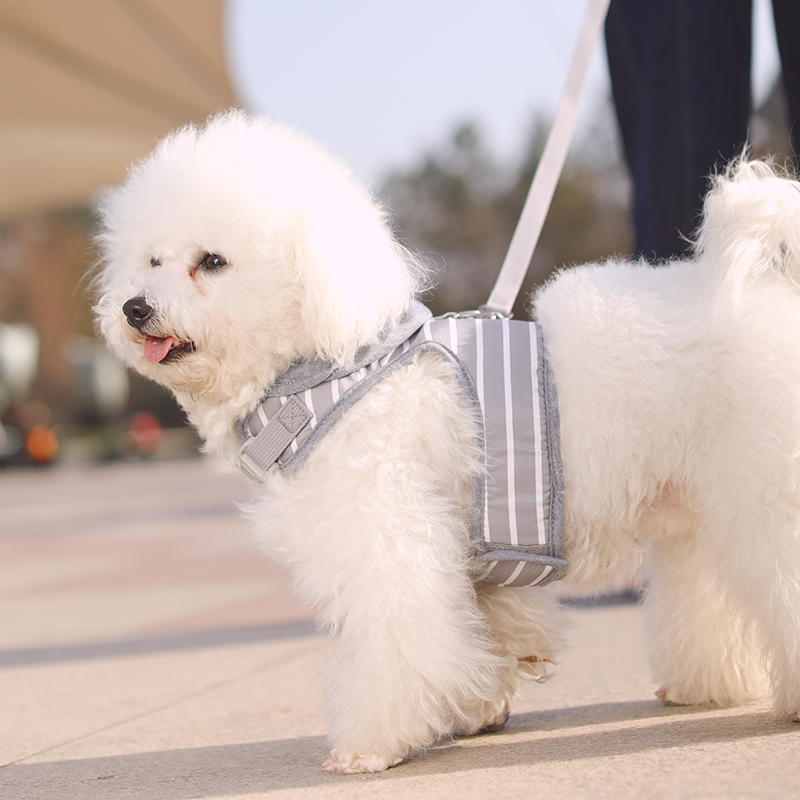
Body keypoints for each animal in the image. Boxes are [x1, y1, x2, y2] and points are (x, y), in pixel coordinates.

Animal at [95, 109, 800, 772]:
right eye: (152, 260)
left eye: (212, 262)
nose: (134, 307)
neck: (334, 367)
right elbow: (482, 628)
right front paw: (481, 704)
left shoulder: (387, 535)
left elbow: (401, 644)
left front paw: (371, 747)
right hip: (704, 510)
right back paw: (707, 687)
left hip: (763, 497)